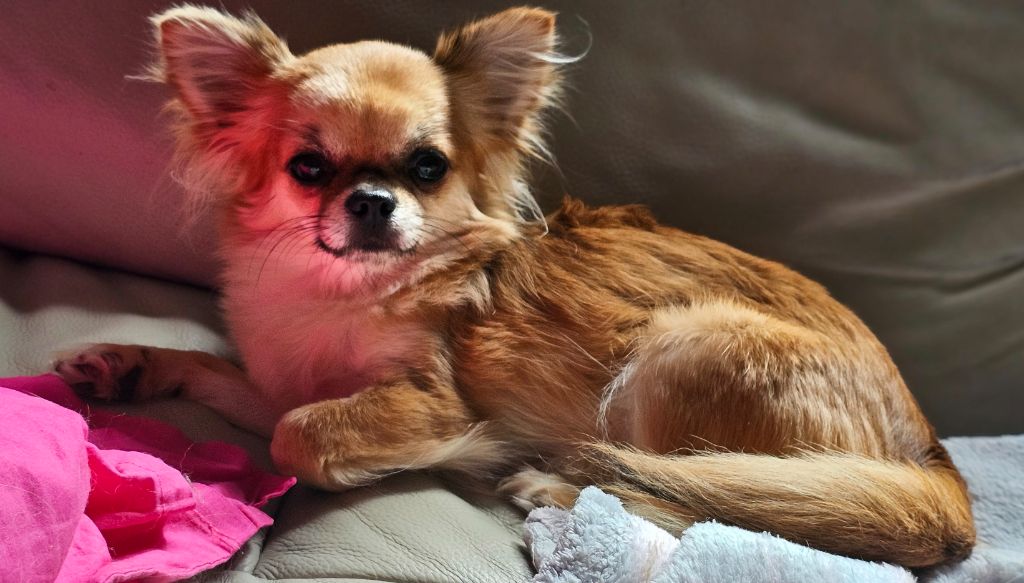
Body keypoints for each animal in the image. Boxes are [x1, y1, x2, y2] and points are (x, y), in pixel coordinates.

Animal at [54, 6, 974, 568]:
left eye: (428, 166)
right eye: (307, 167)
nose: (372, 200)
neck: (345, 294)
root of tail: (929, 455)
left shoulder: (429, 397)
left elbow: (299, 433)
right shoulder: (284, 377)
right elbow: (231, 377)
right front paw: (125, 363)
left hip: (682, 348)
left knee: (721, 503)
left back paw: (558, 485)